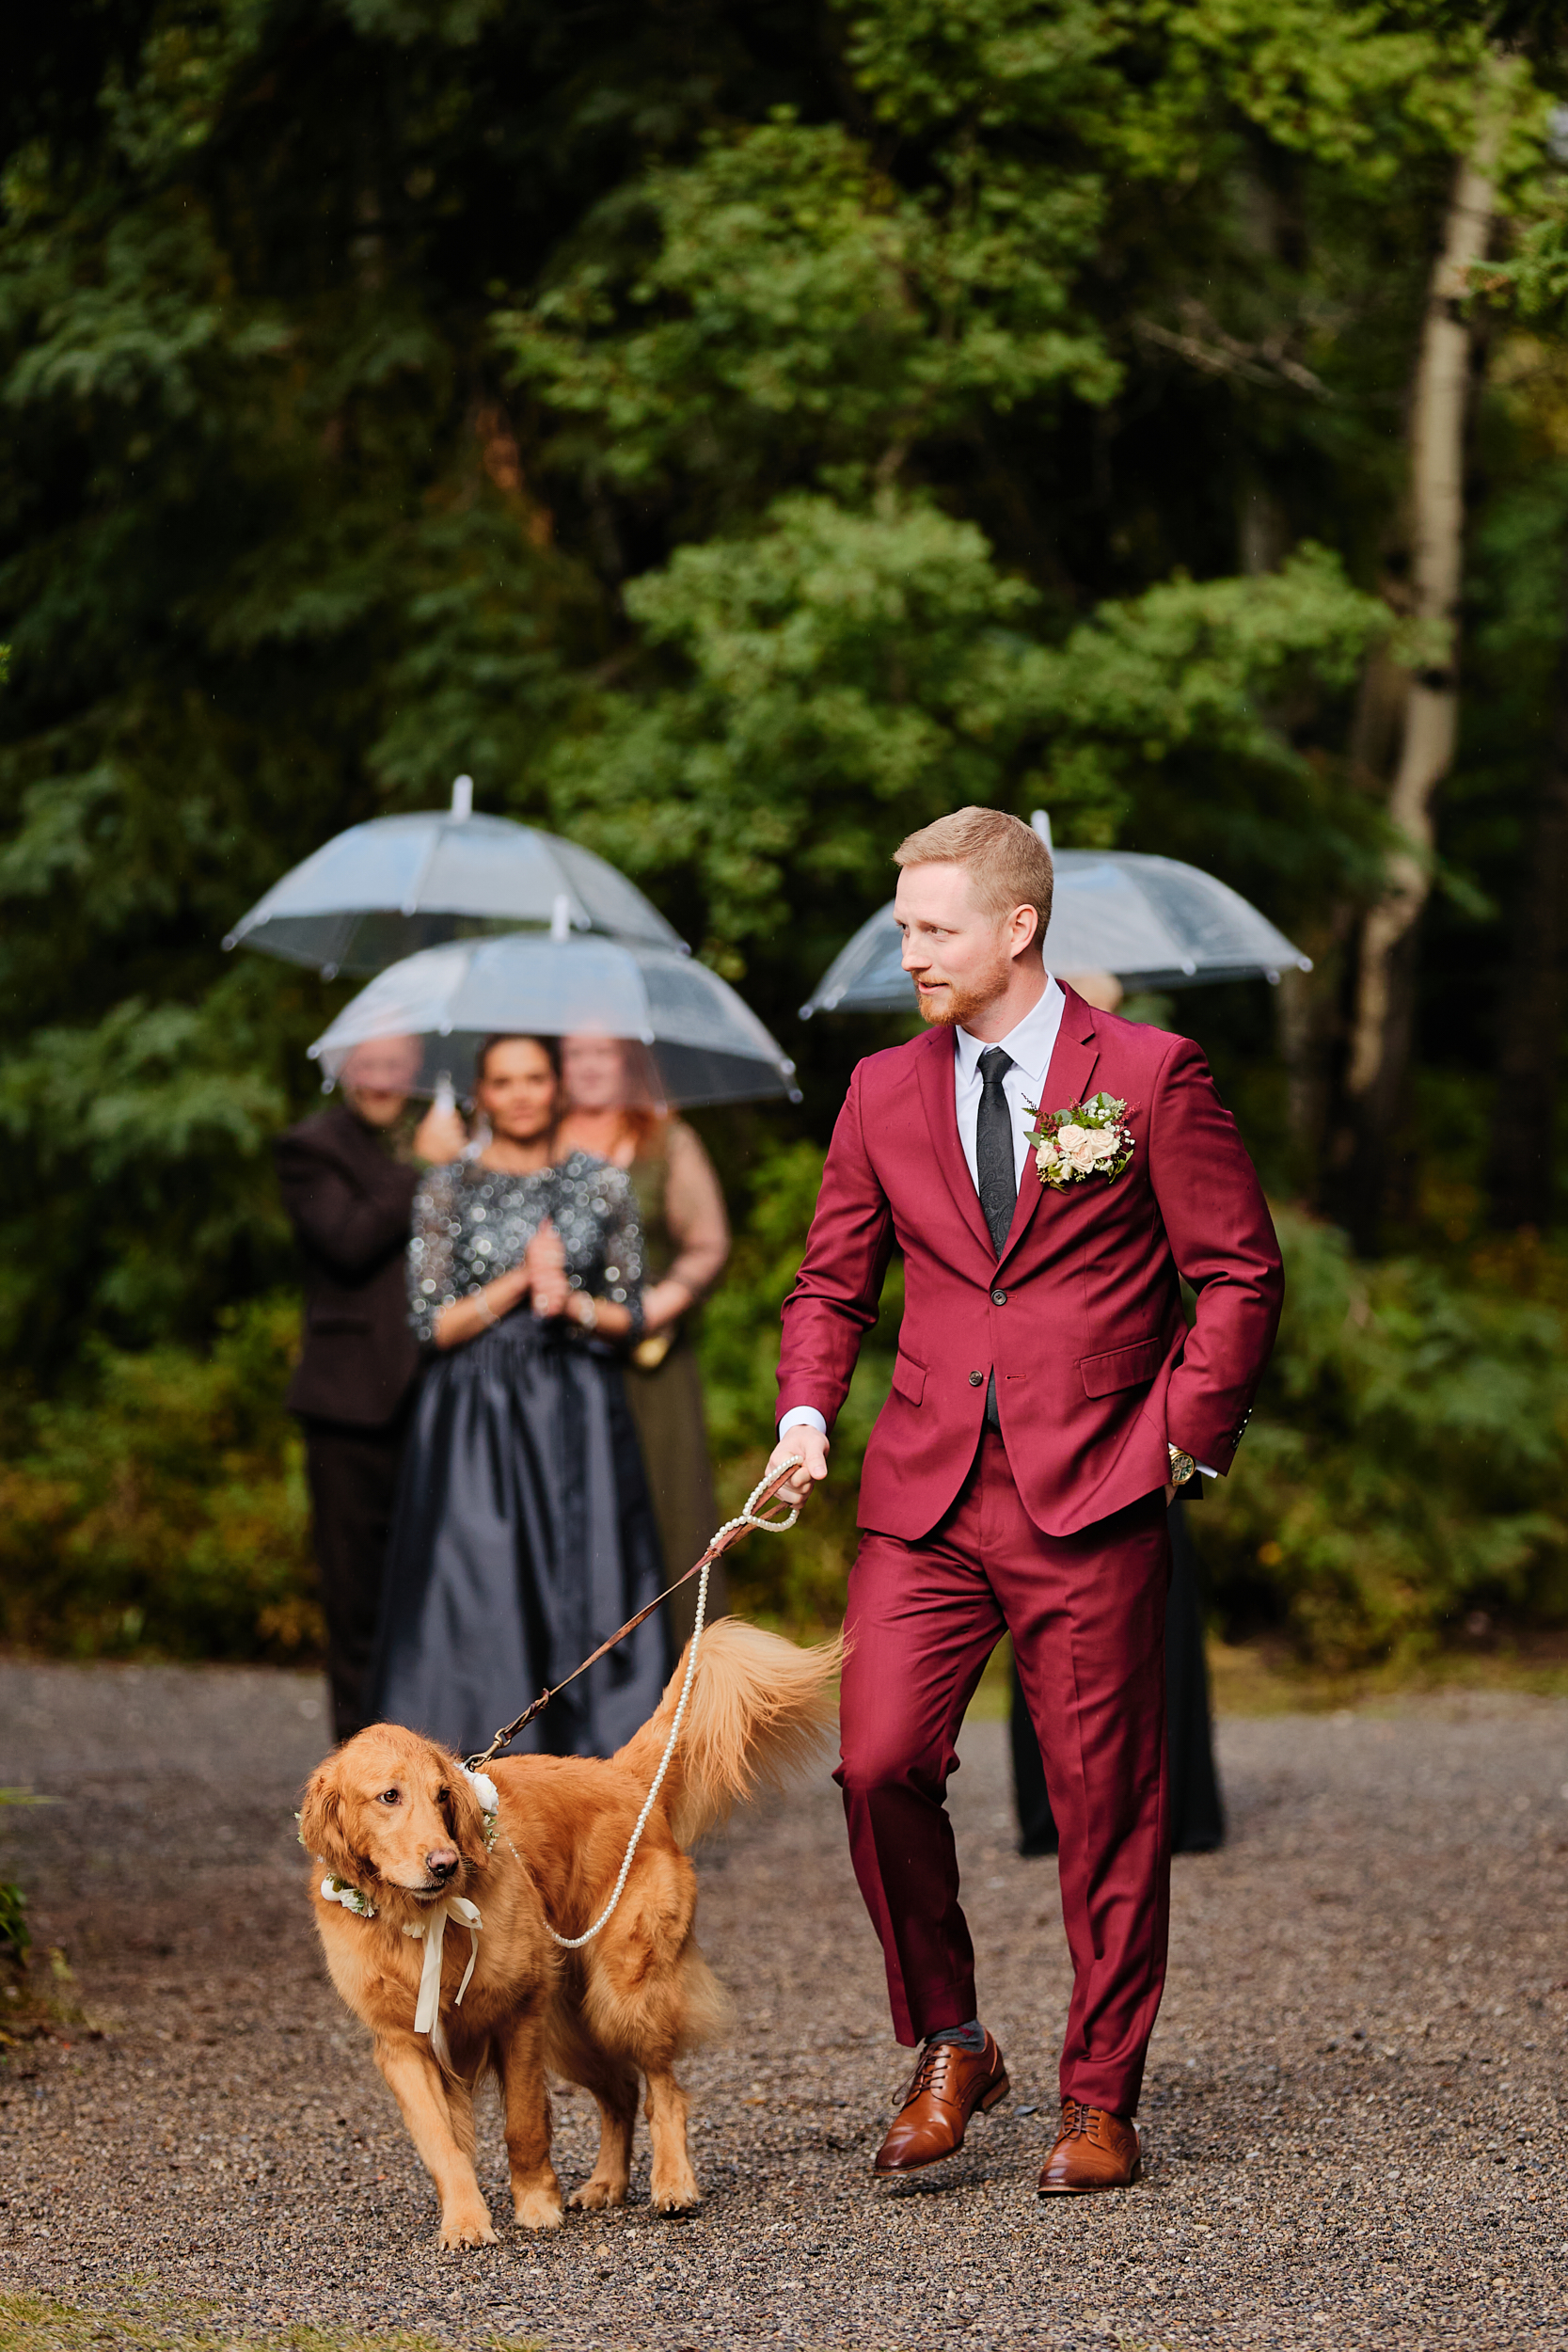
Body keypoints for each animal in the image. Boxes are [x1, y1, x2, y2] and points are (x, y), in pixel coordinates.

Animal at [293, 1618, 832, 2239]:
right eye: (389, 1796)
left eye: (443, 1795)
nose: (445, 1864)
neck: (421, 1917)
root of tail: (620, 1775)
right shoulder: (403, 2044)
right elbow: (441, 2142)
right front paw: (466, 2221)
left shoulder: (520, 2015)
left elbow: (525, 2124)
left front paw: (534, 2205)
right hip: (574, 2023)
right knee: (621, 2092)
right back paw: (606, 2184)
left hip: (621, 1994)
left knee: (663, 2091)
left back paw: (673, 2184)